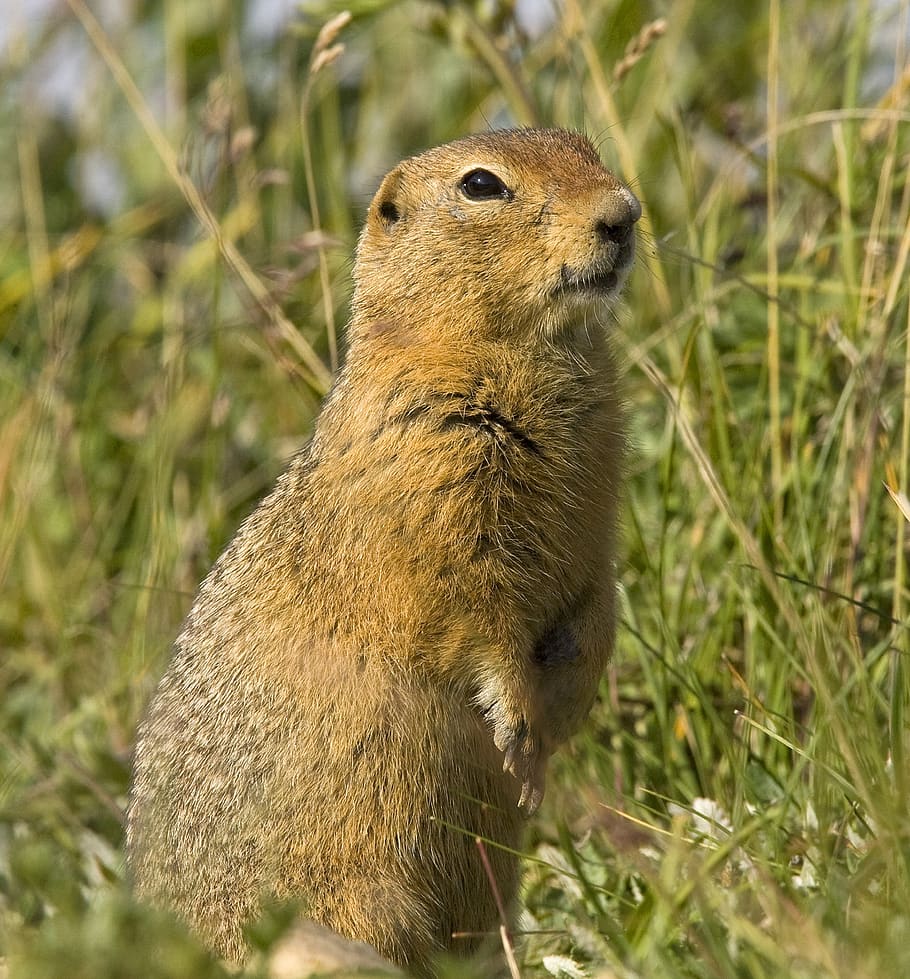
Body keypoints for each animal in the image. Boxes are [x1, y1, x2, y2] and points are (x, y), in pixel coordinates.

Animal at [127, 127, 640, 976]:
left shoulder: (597, 520)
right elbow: (474, 609)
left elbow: (598, 600)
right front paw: (520, 727)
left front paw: (556, 723)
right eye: (481, 185)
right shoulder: (431, 493)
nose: (624, 213)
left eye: (585, 145)